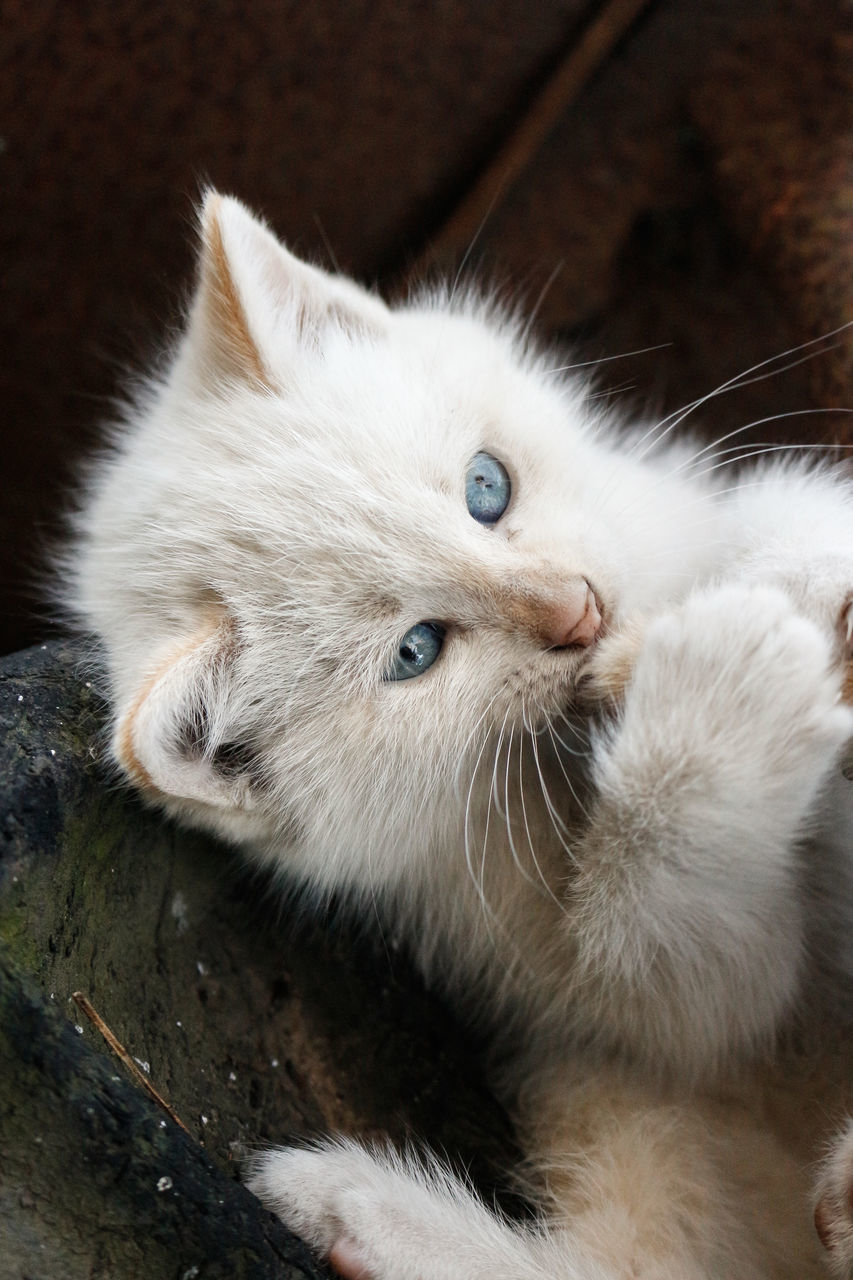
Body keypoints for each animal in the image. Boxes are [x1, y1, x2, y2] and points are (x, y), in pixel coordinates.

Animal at [68, 192, 853, 1280]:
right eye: (416, 650)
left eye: (487, 487)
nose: (579, 612)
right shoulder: (599, 976)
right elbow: (697, 968)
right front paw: (723, 693)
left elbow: (781, 509)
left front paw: (795, 576)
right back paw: (358, 1210)